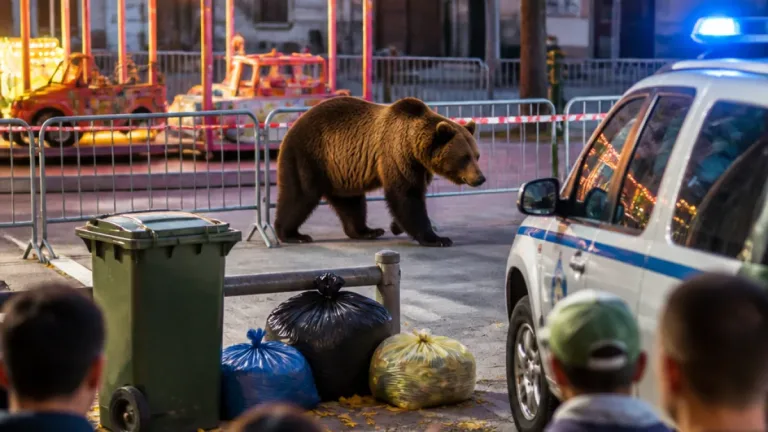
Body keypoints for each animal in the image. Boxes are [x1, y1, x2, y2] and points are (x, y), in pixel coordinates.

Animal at [274, 96, 486, 247]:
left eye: (477, 155)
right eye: (464, 157)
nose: (480, 178)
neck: (414, 145)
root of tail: (293, 126)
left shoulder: (420, 167)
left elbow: (411, 197)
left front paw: (395, 226)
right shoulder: (397, 156)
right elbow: (406, 195)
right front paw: (437, 238)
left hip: (340, 171)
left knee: (351, 203)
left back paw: (366, 231)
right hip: (309, 155)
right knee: (300, 195)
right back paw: (292, 234)